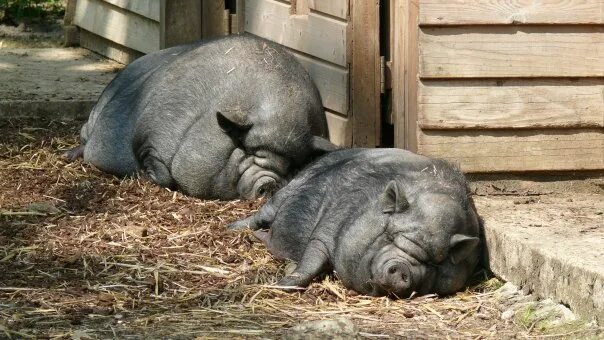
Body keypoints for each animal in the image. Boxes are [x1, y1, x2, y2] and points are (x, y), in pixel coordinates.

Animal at [66, 34, 336, 199]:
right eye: (246, 150)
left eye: (293, 164)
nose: (269, 183)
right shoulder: (150, 133)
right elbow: (158, 170)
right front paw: (144, 176)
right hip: (96, 114)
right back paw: (71, 155)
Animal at [229, 149, 484, 298]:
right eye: (390, 235)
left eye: (434, 262)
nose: (402, 267)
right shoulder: (328, 226)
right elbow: (311, 259)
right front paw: (279, 285)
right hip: (288, 190)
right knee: (261, 215)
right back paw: (231, 227)